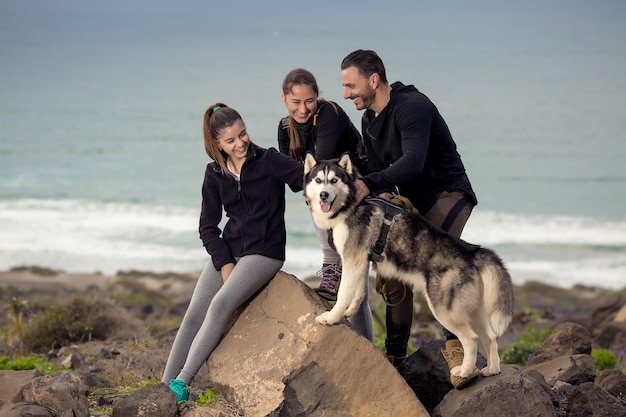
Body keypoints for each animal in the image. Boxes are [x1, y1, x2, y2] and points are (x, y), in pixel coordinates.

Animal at [302, 152, 512, 376]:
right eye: (318, 180)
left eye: (334, 180)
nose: (324, 195)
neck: (351, 205)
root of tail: (471, 251)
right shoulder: (360, 262)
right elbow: (357, 293)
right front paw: (348, 312)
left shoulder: (352, 259)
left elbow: (343, 294)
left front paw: (332, 317)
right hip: (473, 310)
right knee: (490, 337)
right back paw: (492, 369)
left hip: (443, 310)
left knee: (472, 338)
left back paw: (464, 372)